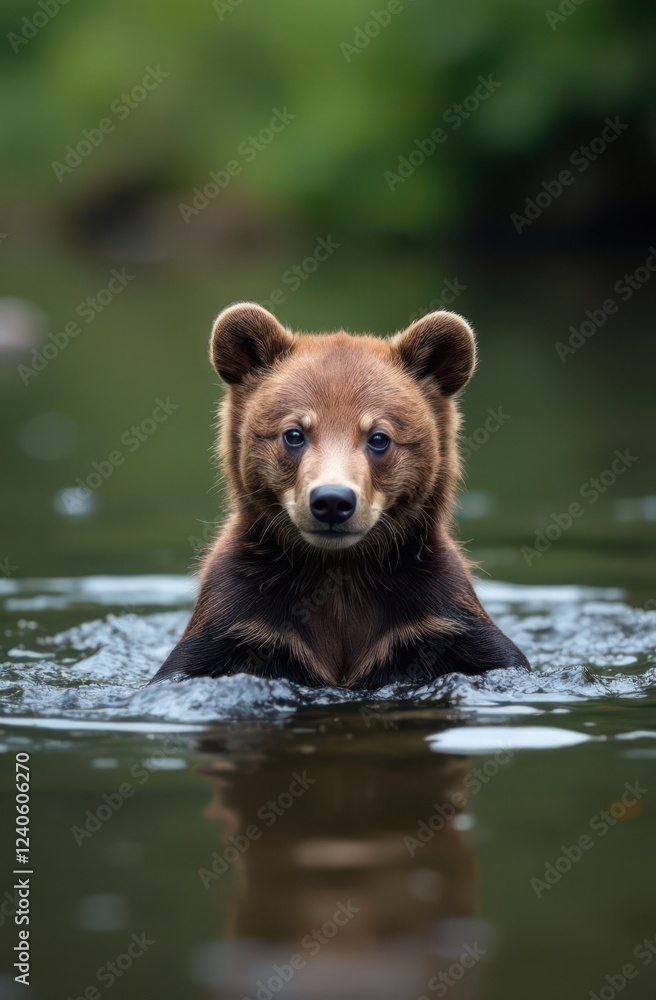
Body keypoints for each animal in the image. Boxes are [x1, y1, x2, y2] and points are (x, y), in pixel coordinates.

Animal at [151, 302, 528, 688]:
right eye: (294, 433)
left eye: (379, 437)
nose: (332, 501)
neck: (339, 570)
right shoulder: (237, 618)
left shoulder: (440, 615)